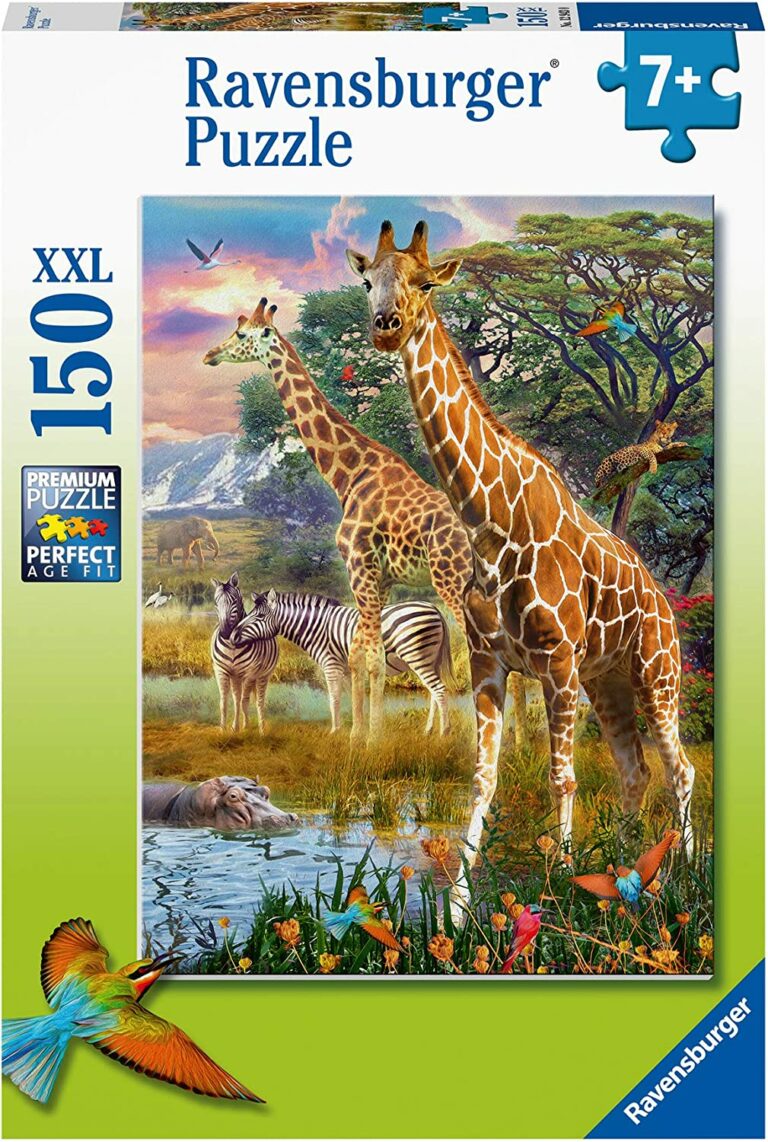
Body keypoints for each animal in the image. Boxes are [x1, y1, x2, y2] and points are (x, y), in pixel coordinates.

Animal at [203, 299, 528, 741]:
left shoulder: (358, 564)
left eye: (240, 334)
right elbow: (362, 652)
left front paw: (369, 739)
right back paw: (521, 739)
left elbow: (369, 656)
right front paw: (363, 732)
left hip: (454, 579)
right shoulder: (382, 576)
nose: (209, 355)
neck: (349, 474)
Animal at [347, 221, 695, 917]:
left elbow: (562, 776)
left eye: (425, 283)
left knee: (681, 768)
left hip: (656, 672)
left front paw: (559, 889)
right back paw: (628, 877)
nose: (387, 325)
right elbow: (483, 778)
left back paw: (684, 879)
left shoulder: (556, 662)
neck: (490, 525)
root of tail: (666, 607)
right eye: (368, 281)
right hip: (608, 683)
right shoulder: (490, 663)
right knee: (636, 769)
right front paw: (456, 911)